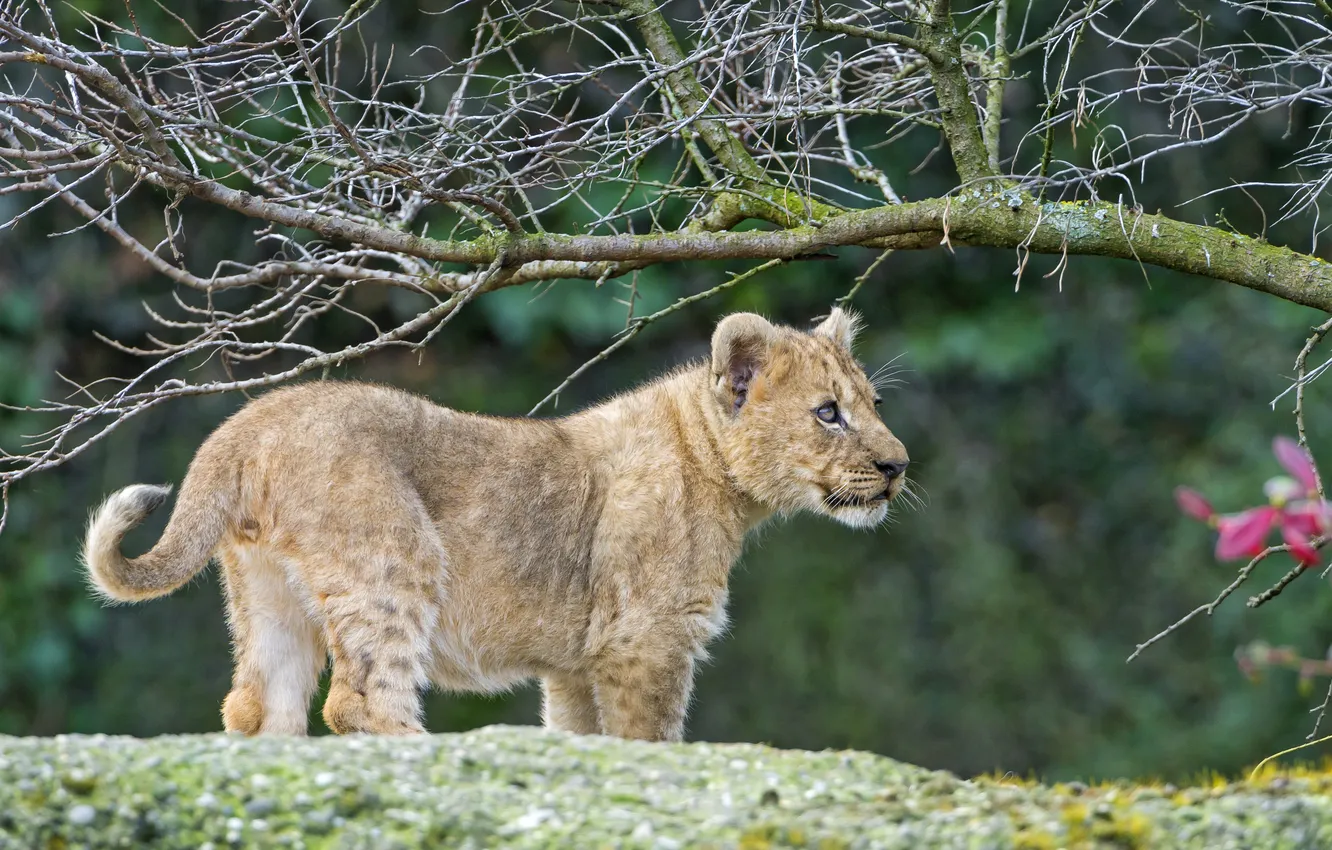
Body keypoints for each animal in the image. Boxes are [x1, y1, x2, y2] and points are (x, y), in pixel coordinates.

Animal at [81, 308, 909, 741]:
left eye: (872, 403)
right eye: (828, 414)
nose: (899, 465)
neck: (712, 464)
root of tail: (246, 424)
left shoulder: (579, 661)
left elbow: (580, 735)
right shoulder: (645, 638)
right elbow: (649, 739)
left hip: (268, 594)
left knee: (257, 705)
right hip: (396, 560)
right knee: (358, 697)